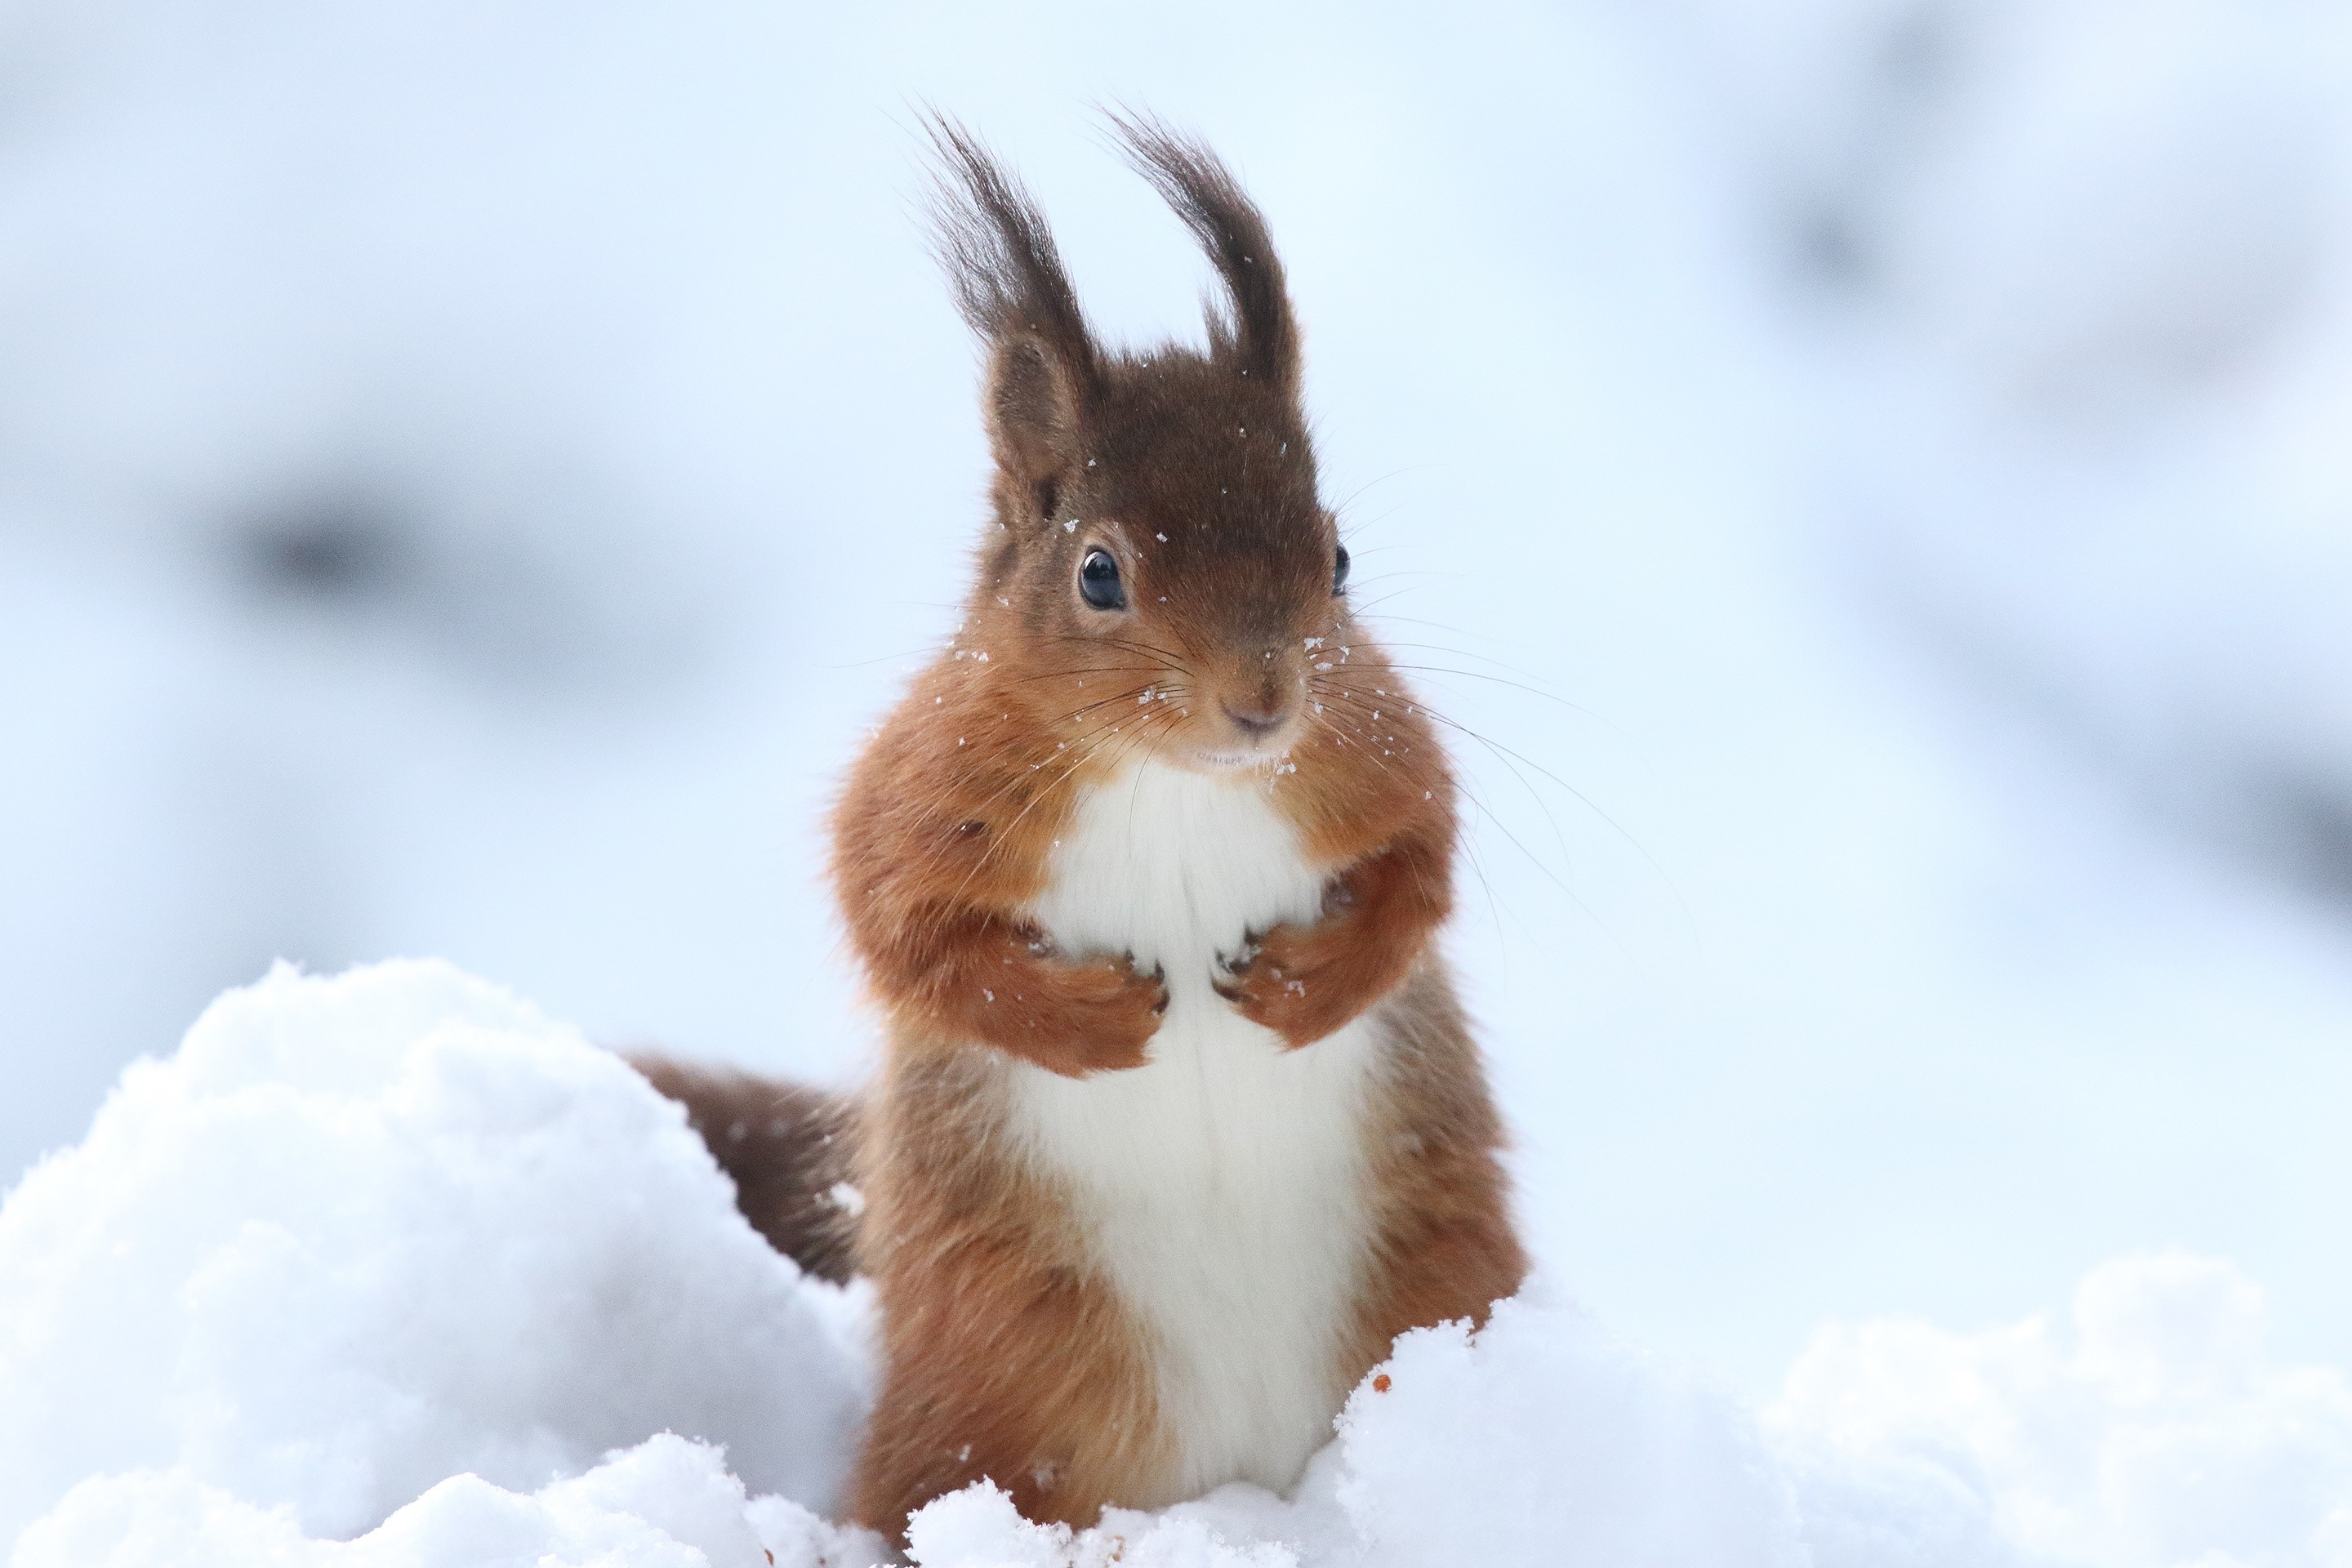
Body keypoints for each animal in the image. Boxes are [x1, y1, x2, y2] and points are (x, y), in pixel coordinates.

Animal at [645, 116, 1525, 1544]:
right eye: (1099, 574)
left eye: (1338, 559)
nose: (1264, 702)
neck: (1178, 780)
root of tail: (1241, 1476)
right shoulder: (923, 784)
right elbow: (900, 925)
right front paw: (1091, 1023)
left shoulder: (1372, 749)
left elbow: (1420, 867)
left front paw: (1307, 987)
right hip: (1000, 1383)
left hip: (1438, 1285)